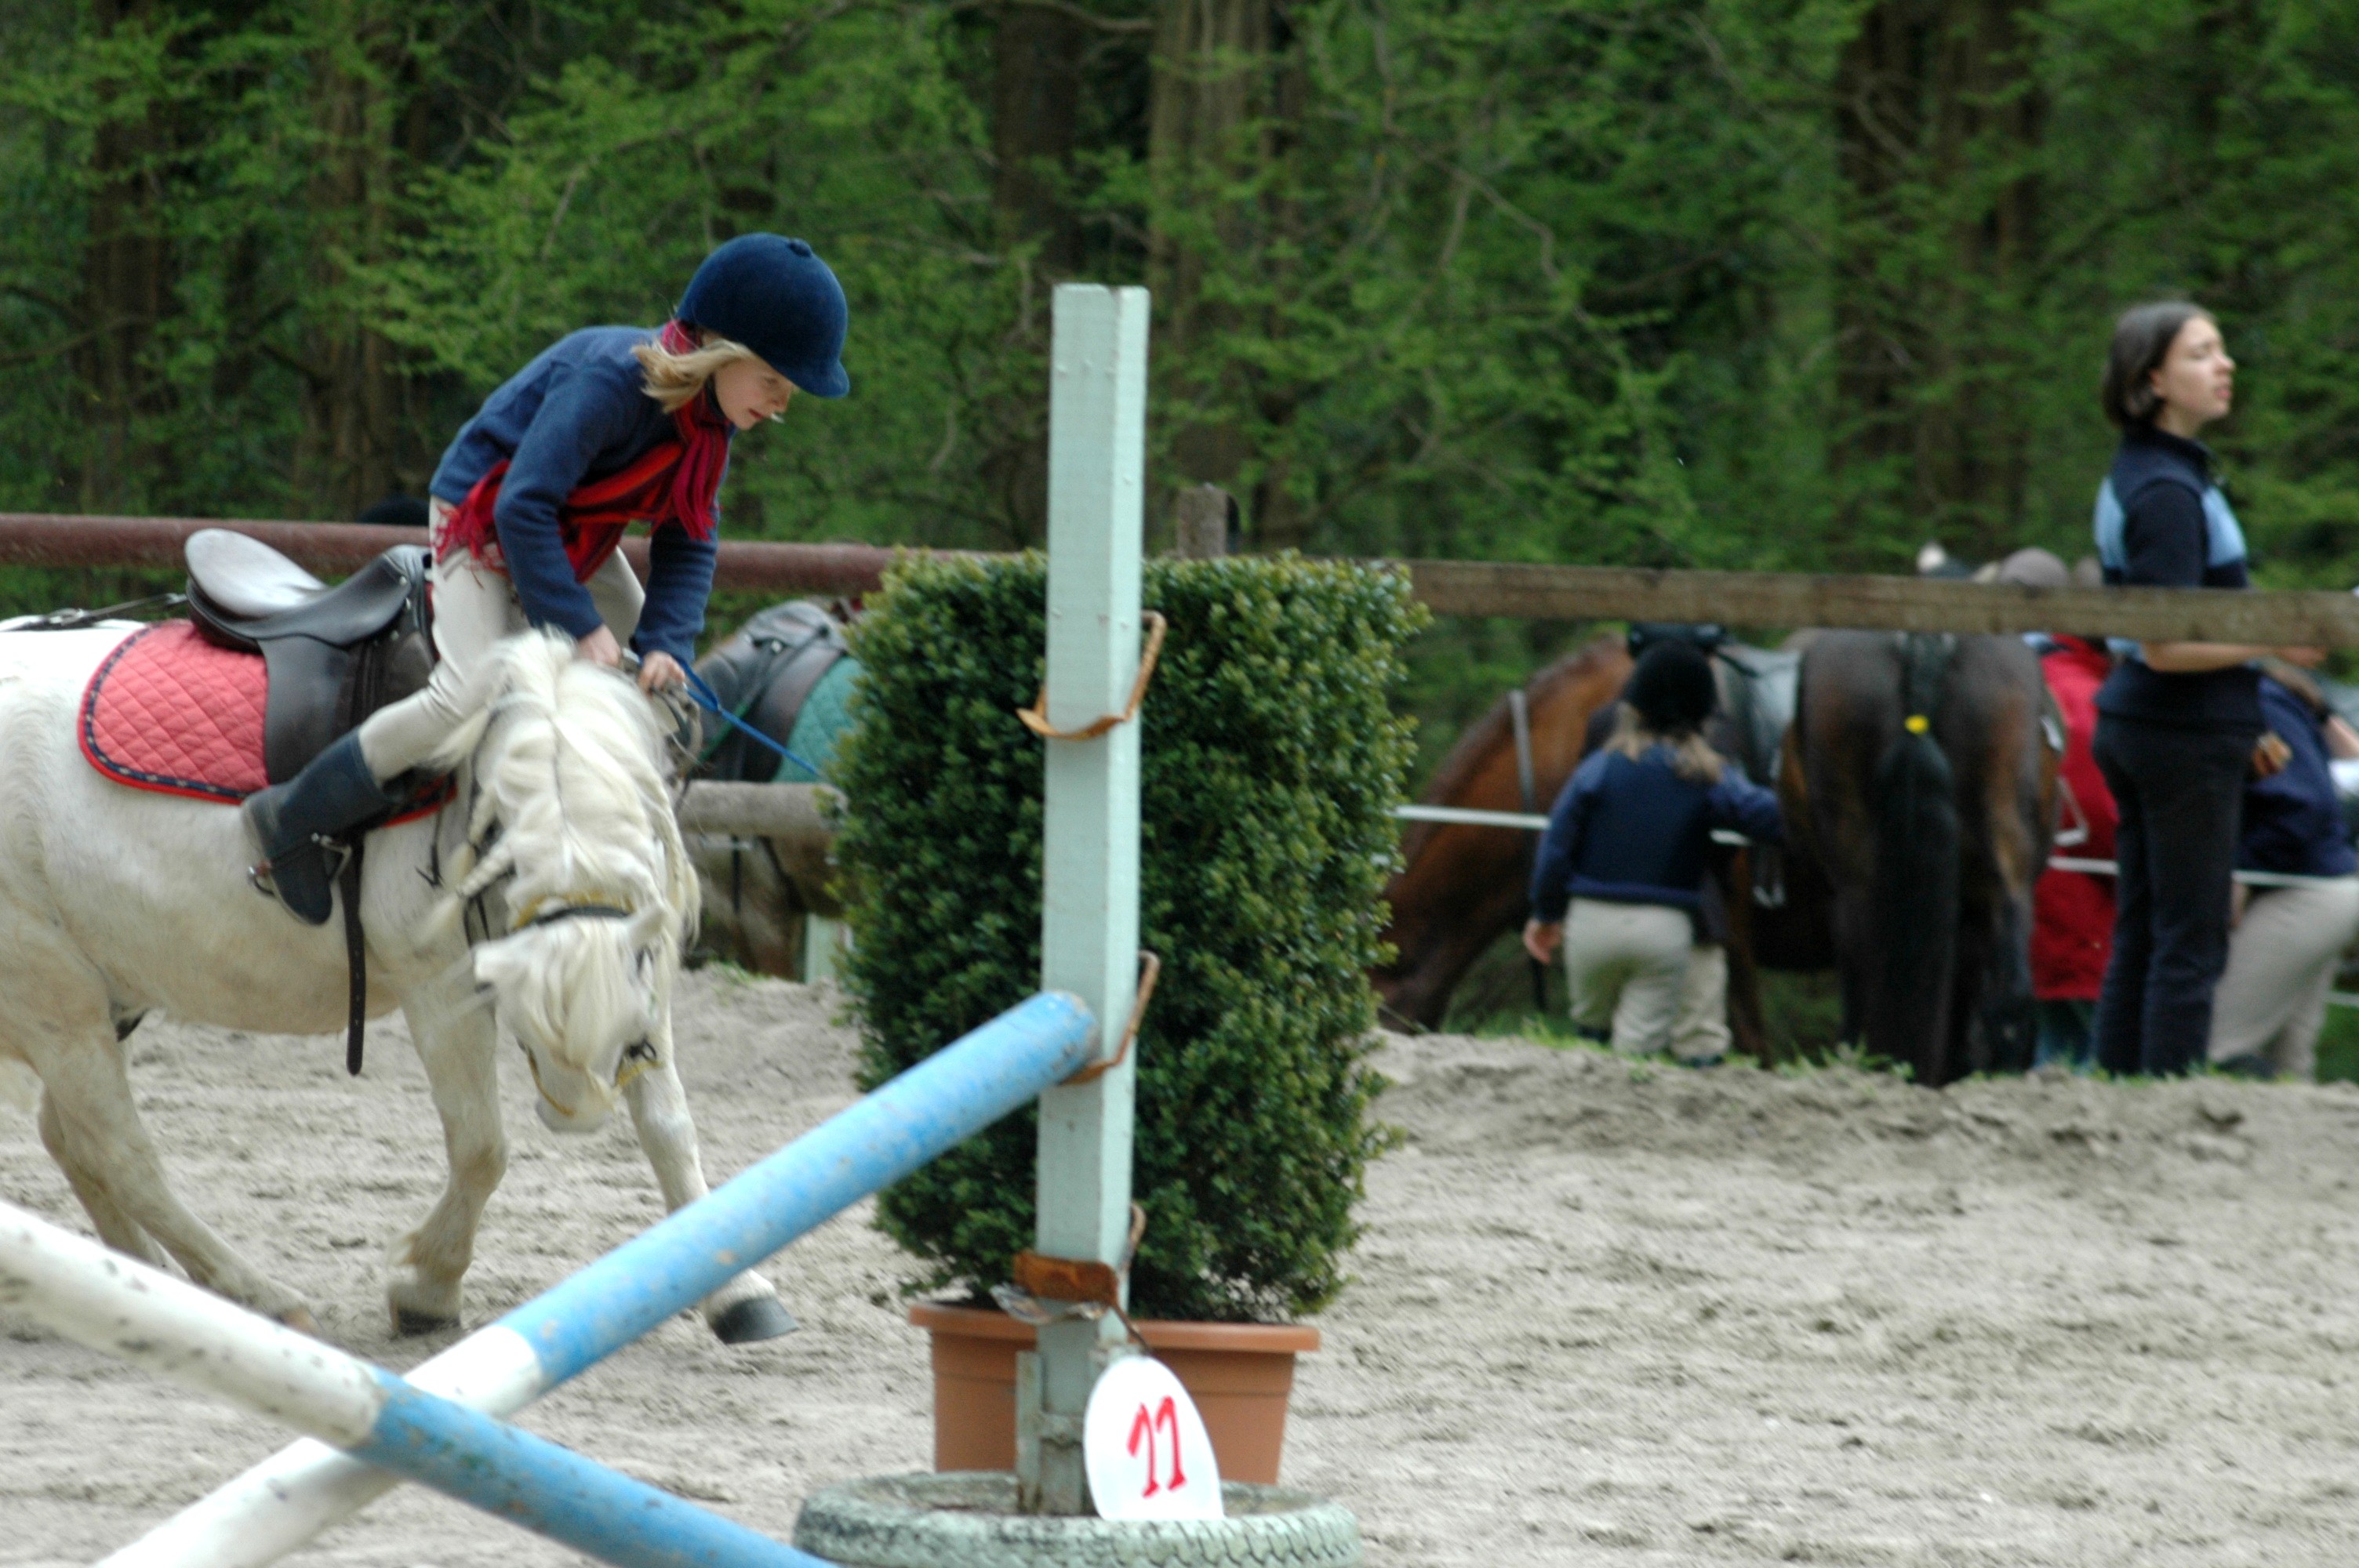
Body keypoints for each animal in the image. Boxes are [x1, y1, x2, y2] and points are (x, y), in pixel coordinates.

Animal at [0, 624, 789, 1340]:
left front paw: (739, 1292)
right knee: (120, 1155)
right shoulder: (442, 989)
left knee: (71, 1141)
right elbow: (481, 1148)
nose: (574, 1114)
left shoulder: (643, 977)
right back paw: (255, 1296)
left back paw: (136, 1288)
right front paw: (428, 1290)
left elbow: (669, 1130)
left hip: (109, 996)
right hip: (56, 999)